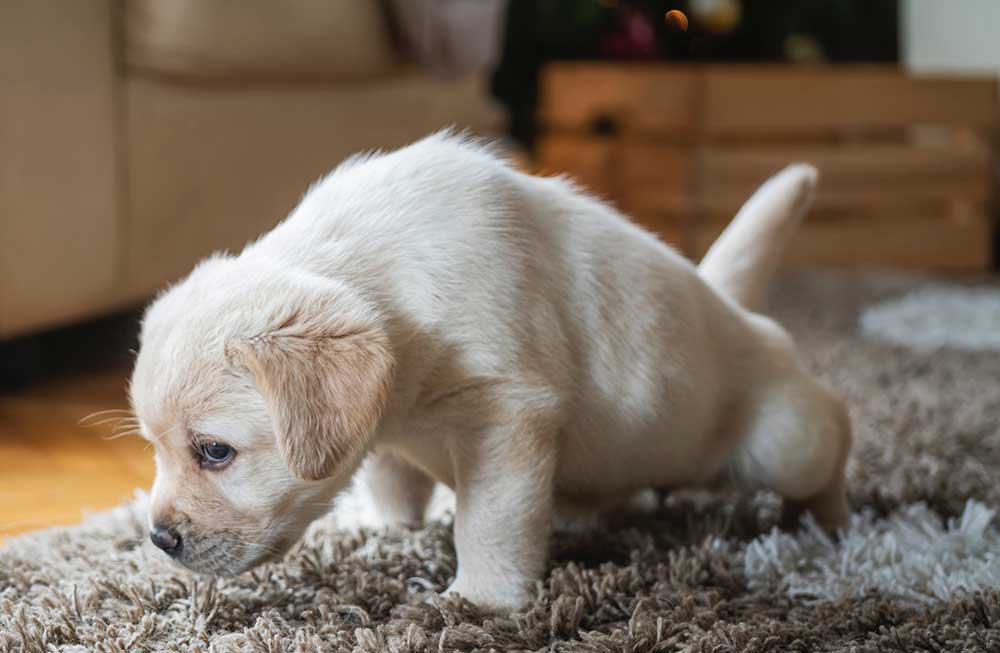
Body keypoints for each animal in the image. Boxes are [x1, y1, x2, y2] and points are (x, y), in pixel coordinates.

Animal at [133, 132, 848, 612]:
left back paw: (832, 525)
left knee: (833, 433)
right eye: (156, 449)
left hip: (785, 442)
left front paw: (478, 602)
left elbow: (489, 520)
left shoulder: (507, 413)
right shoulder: (386, 419)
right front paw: (383, 530)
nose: (159, 538)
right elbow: (392, 477)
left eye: (215, 451)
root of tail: (737, 309)